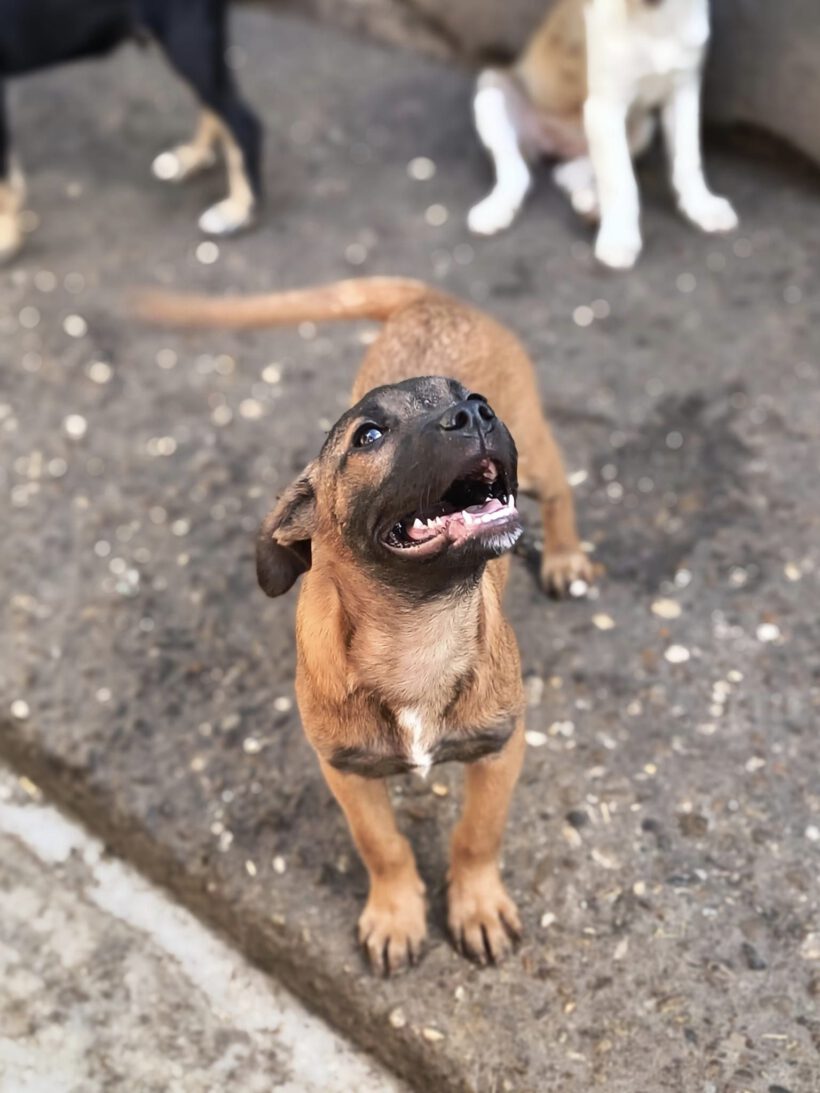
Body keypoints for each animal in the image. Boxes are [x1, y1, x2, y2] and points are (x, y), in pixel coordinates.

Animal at [0, 0, 261, 262]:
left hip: (187, 40)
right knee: (214, 109)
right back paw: (191, 157)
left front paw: (6, 239)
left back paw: (237, 211)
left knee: (243, 123)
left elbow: (4, 180)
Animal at [135, 277, 599, 970]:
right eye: (369, 436)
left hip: (536, 457)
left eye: (469, 399)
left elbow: (476, 835)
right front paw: (396, 914)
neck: (420, 628)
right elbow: (382, 845)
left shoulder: (501, 749)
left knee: (563, 489)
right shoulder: (347, 772)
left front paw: (477, 906)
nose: (476, 413)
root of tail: (430, 300)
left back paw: (566, 557)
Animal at [467, 0, 739, 268]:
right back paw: (496, 209)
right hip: (491, 91)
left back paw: (590, 202)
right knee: (516, 171)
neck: (653, 12)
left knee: (568, 172)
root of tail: (558, 141)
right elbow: (620, 180)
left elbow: (687, 160)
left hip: (642, 128)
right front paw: (620, 236)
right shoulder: (604, 108)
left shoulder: (683, 90)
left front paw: (701, 206)